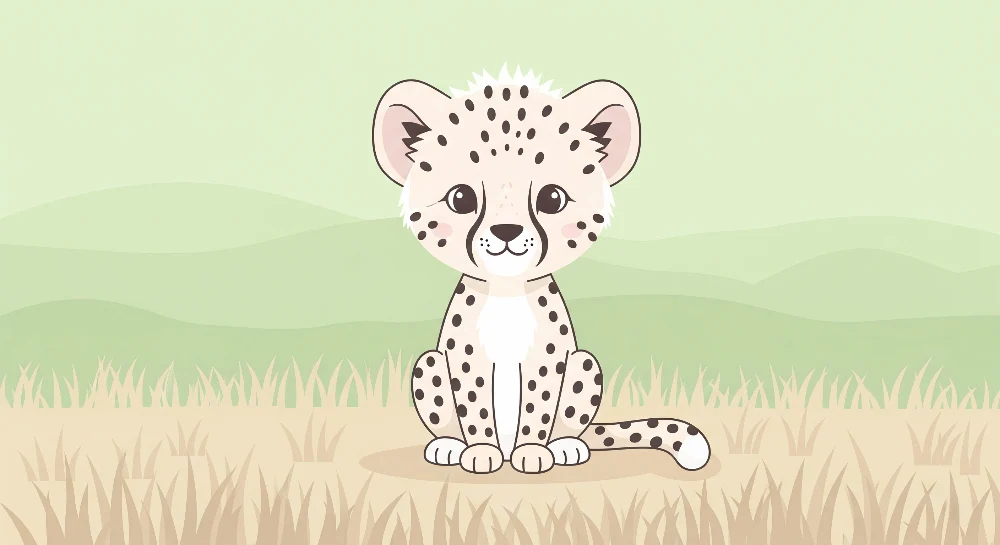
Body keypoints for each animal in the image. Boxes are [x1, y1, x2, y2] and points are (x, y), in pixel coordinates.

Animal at [371, 65, 712, 474]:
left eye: (552, 198)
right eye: (461, 198)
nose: (506, 232)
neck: (507, 291)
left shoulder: (549, 359)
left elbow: (538, 404)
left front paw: (532, 451)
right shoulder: (464, 359)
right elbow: (474, 406)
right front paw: (480, 451)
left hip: (584, 363)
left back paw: (565, 446)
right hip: (431, 363)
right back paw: (449, 445)